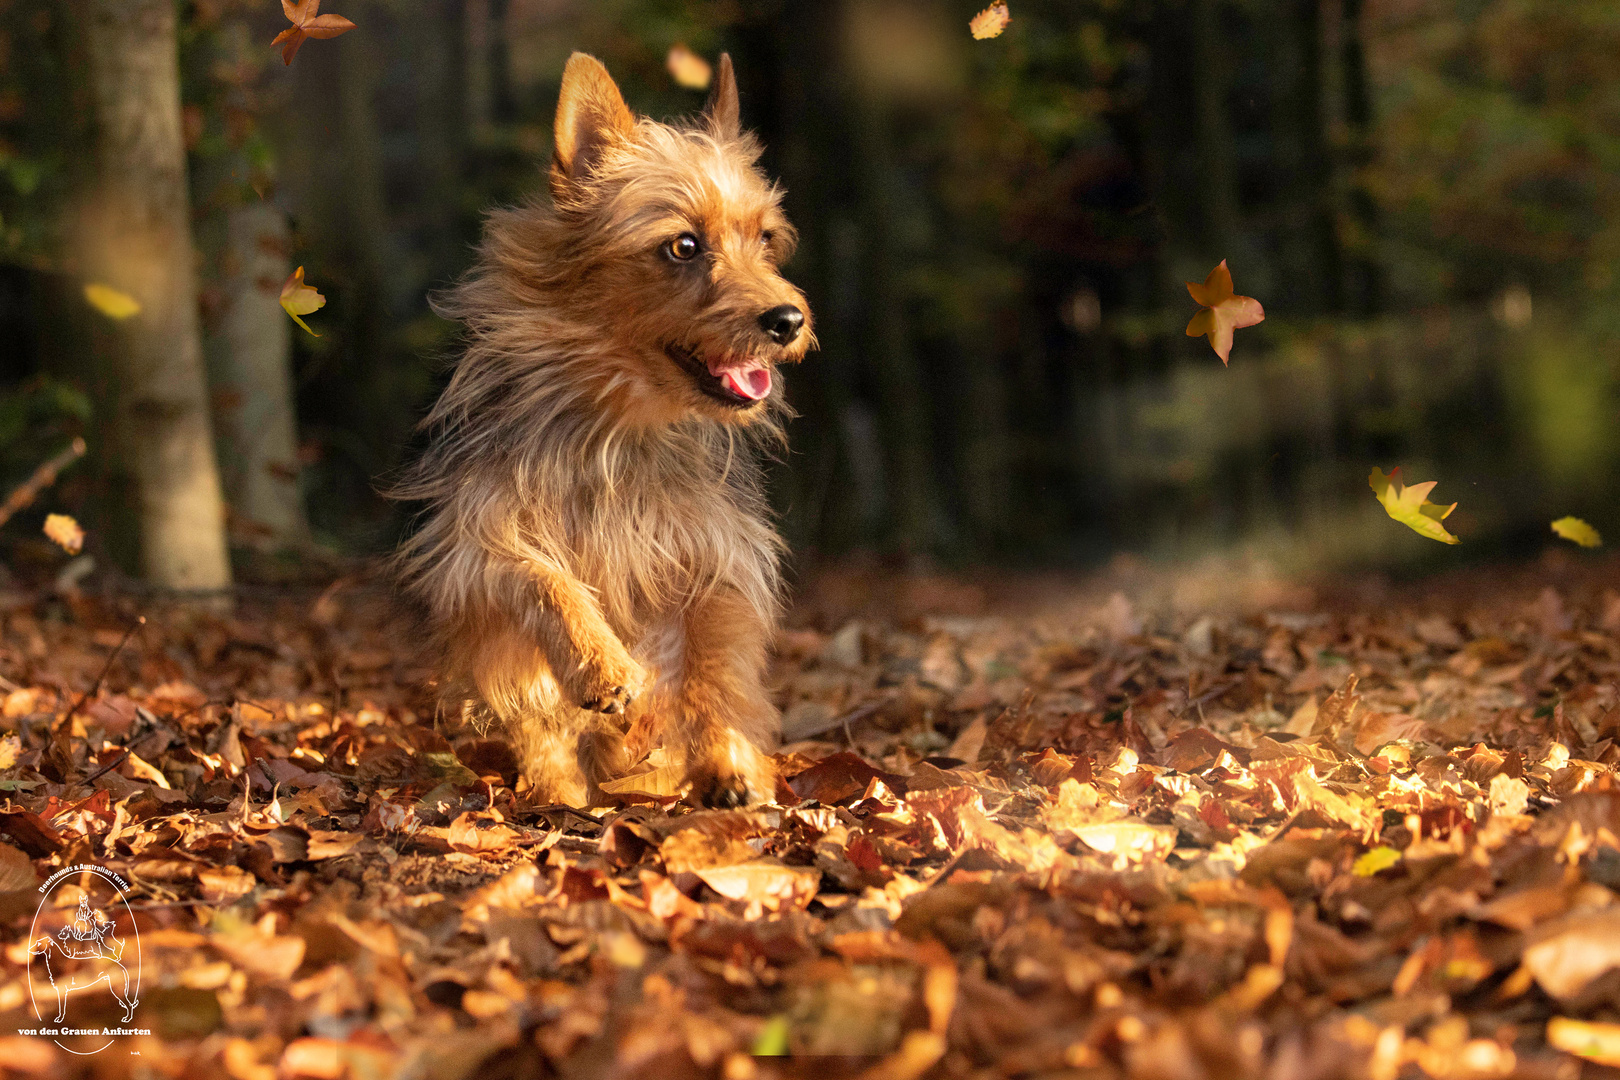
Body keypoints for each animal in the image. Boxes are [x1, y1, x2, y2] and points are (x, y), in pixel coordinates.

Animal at [396, 52, 810, 809]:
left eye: (765, 240)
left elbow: (713, 667)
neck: (615, 424)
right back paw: (556, 792)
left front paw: (731, 764)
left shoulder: (718, 559)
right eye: (683, 245)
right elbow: (541, 577)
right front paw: (599, 664)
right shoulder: (473, 545)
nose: (788, 319)